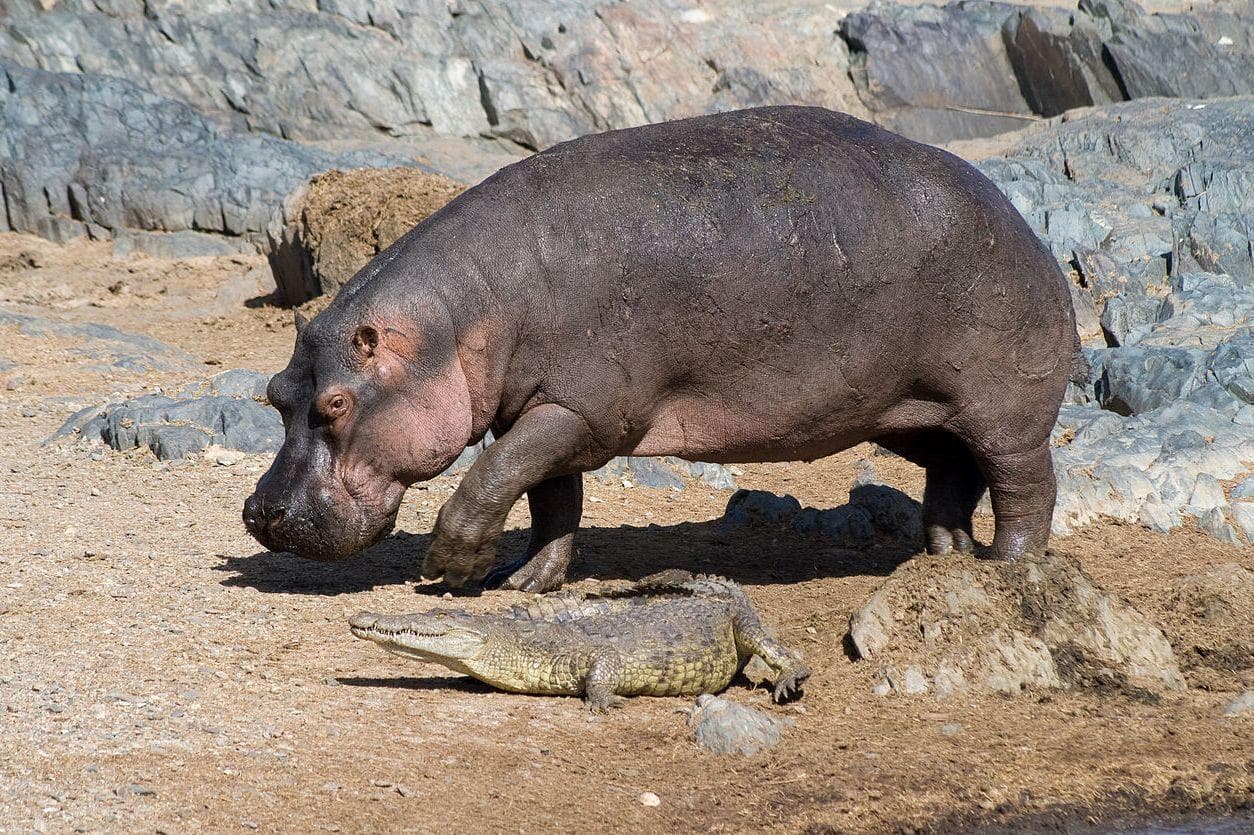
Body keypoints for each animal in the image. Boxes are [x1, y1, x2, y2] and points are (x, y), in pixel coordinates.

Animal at [243, 105, 1080, 593]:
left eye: (335, 402)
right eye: (276, 395)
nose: (259, 512)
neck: (456, 318)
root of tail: (1023, 223)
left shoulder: (580, 410)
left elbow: (493, 478)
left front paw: (450, 569)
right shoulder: (543, 409)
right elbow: (548, 498)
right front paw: (525, 580)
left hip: (1002, 408)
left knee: (1024, 481)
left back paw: (1007, 565)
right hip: (911, 410)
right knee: (953, 471)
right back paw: (943, 553)